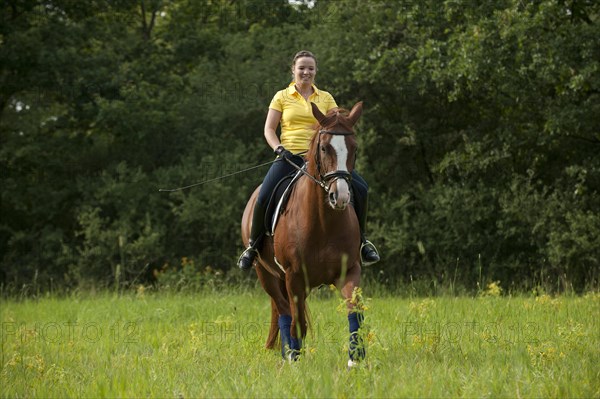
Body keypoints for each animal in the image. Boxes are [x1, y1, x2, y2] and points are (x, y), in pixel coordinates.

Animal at [240, 101, 366, 368]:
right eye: (324, 147)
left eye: (354, 147)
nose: (340, 196)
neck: (323, 224)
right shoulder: (294, 276)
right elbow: (297, 322)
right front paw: (295, 360)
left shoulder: (349, 271)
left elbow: (354, 311)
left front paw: (355, 359)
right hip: (266, 274)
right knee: (284, 312)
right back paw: (288, 353)